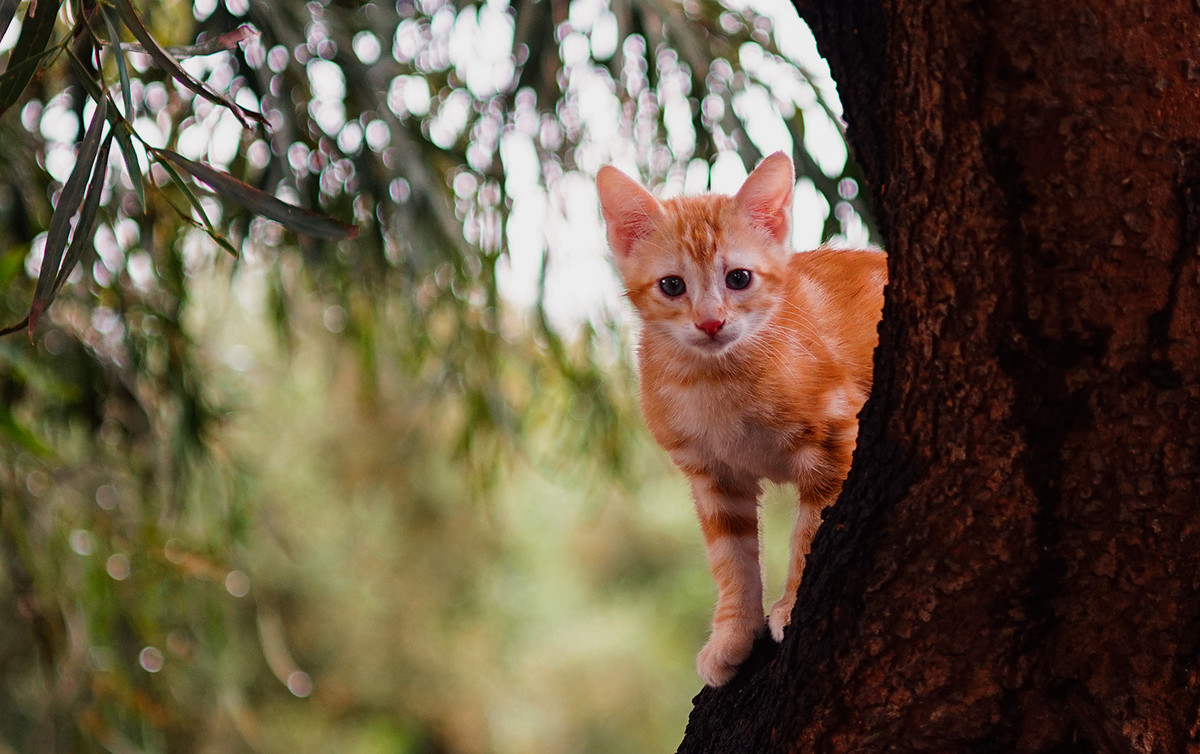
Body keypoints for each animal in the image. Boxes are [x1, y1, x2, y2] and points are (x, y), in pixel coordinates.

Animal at [595, 153, 888, 691]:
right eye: (672, 285)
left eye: (738, 278)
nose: (710, 322)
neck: (715, 382)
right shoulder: (712, 477)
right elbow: (731, 560)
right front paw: (733, 633)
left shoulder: (839, 436)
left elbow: (810, 532)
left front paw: (791, 604)